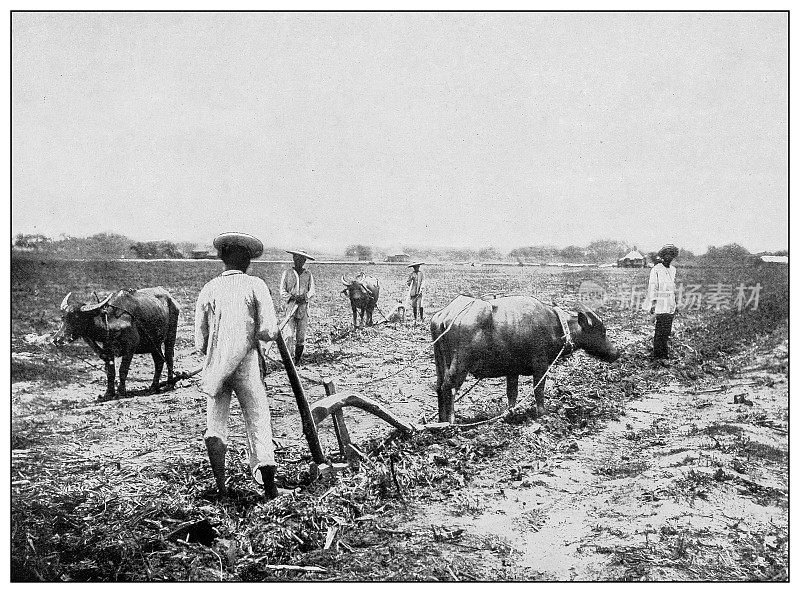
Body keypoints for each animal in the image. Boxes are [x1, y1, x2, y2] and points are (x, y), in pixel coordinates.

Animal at [432, 294, 620, 424]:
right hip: (460, 364)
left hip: (440, 362)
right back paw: (451, 422)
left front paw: (510, 414)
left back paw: (441, 421)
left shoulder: (512, 371)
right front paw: (543, 413)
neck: (556, 327)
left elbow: (512, 394)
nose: (616, 353)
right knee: (449, 387)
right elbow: (539, 391)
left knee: (439, 387)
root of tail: (444, 316)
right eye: (602, 331)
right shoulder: (541, 366)